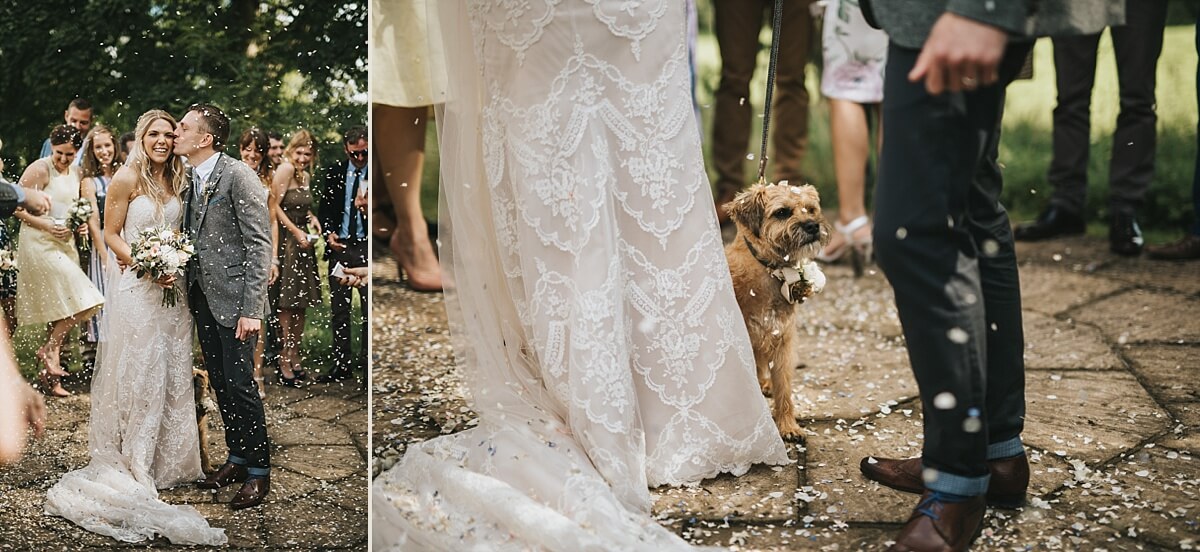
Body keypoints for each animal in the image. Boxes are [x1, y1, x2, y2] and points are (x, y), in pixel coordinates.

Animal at [724, 183, 830, 441]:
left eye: (811, 209)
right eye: (782, 212)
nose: (813, 225)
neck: (767, 269)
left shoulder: (782, 340)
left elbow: (784, 388)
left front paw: (788, 426)